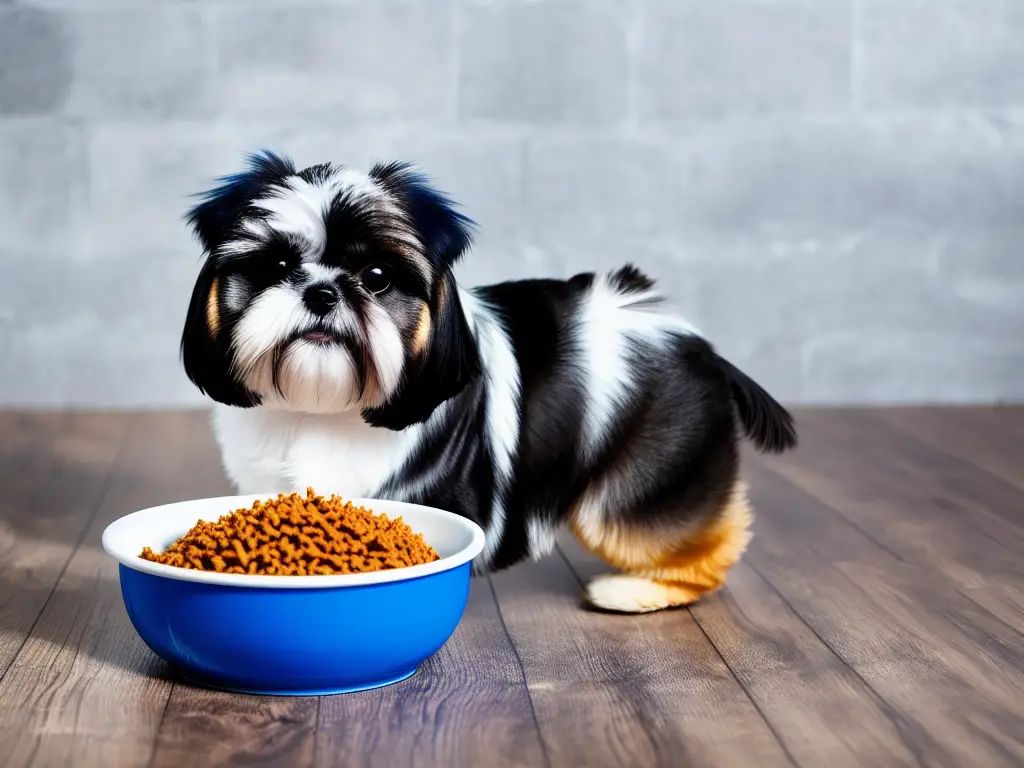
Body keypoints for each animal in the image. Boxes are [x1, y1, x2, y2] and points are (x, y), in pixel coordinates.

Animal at [180, 153, 794, 618]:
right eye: (278, 266)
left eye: (377, 278)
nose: (323, 291)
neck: (320, 408)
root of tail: (697, 344)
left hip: (638, 486)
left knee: (708, 544)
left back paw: (633, 591)